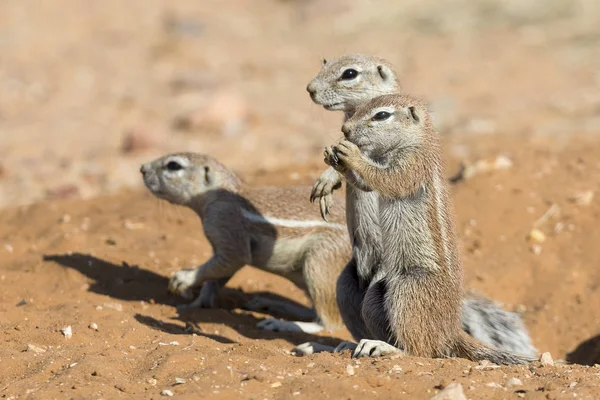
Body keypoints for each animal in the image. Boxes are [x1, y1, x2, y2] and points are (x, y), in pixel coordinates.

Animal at [139, 152, 350, 336]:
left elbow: (231, 260)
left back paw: (281, 323)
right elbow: (215, 276)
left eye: (174, 165)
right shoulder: (220, 248)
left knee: (330, 322)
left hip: (320, 263)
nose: (142, 168)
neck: (218, 194)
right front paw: (196, 304)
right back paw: (268, 304)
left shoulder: (225, 223)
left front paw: (183, 279)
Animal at [298, 54, 536, 358]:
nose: (345, 130)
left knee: (420, 351)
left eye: (381, 115)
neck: (415, 140)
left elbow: (387, 180)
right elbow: (366, 183)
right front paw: (333, 161)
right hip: (365, 291)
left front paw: (349, 155)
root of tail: (450, 330)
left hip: (407, 288)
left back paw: (384, 347)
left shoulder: (411, 166)